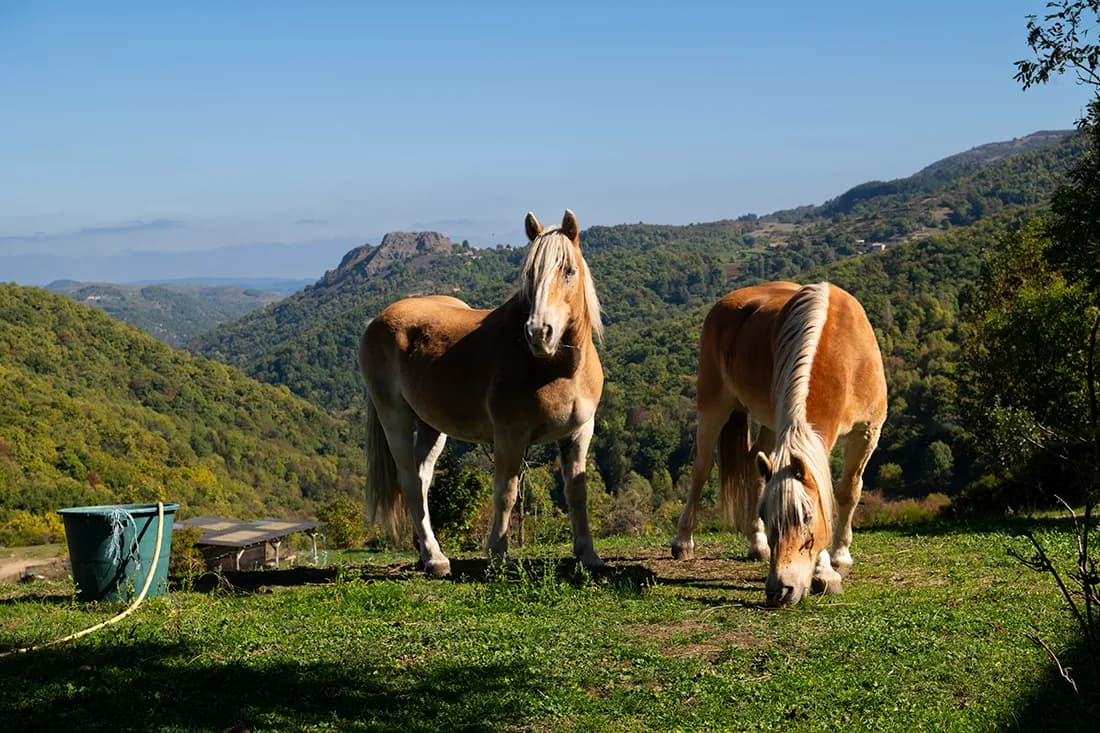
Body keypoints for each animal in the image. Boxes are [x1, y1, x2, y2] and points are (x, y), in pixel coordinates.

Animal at [358, 209, 605, 576]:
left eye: (569, 271)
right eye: (530, 273)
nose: (538, 333)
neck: (559, 368)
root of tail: (377, 320)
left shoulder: (578, 433)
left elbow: (577, 492)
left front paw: (588, 555)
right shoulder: (510, 436)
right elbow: (506, 492)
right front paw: (498, 554)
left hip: (432, 426)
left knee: (421, 479)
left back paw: (423, 552)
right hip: (395, 417)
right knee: (410, 482)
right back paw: (435, 559)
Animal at [671, 281, 887, 607]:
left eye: (807, 517)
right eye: (769, 516)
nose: (779, 590)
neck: (845, 356)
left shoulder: (867, 432)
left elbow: (847, 492)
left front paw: (839, 559)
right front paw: (825, 572)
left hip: (770, 423)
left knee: (752, 464)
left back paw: (757, 545)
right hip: (713, 404)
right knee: (701, 468)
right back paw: (683, 541)